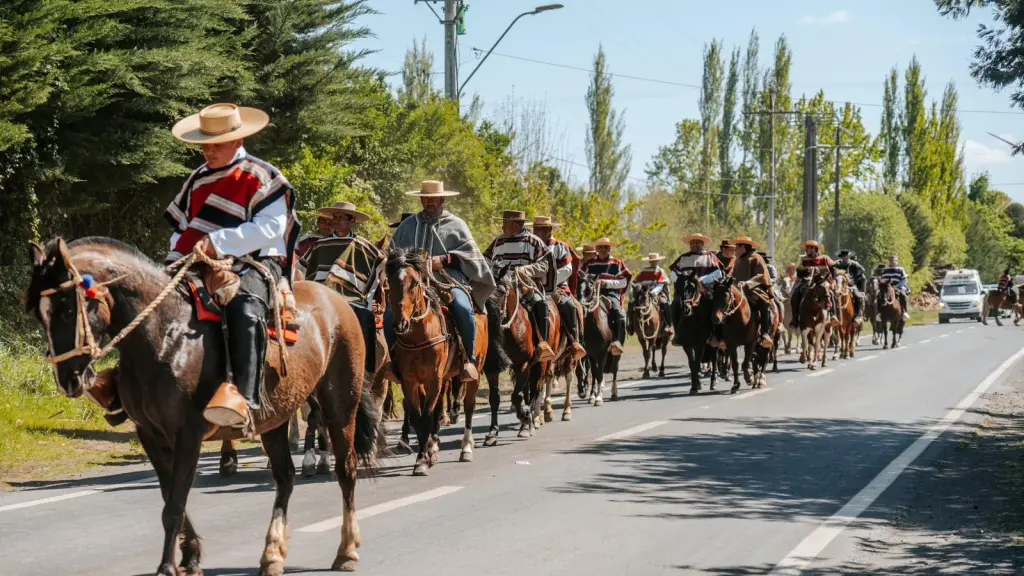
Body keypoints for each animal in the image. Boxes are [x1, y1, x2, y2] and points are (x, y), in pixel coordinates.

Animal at [25, 235, 382, 569]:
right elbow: (170, 498)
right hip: (275, 419)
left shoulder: (188, 434)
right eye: (41, 317)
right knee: (285, 478)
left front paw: (168, 566)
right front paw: (191, 555)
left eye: (67, 310)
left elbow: (174, 505)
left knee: (345, 470)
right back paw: (272, 554)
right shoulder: (150, 436)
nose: (68, 378)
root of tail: (338, 301)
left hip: (340, 407)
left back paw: (346, 550)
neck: (164, 336)